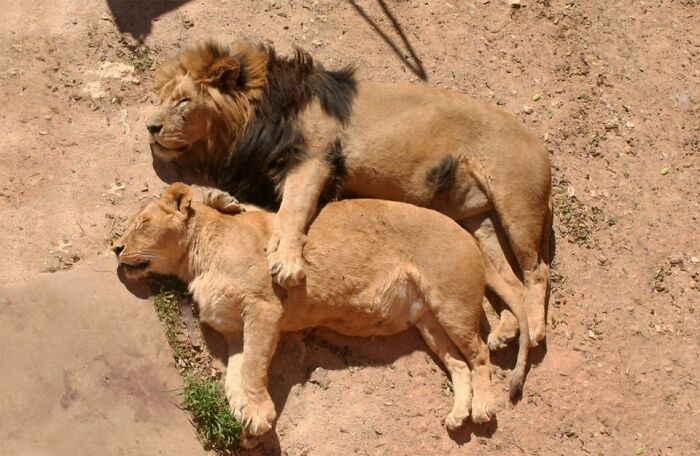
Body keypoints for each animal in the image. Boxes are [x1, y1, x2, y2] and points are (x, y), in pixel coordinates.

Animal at [113, 183, 530, 443]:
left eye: (142, 224)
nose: (116, 247)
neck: (195, 261)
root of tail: (467, 234)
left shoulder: (264, 308)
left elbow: (253, 367)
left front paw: (259, 413)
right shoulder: (234, 330)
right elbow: (234, 374)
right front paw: (242, 412)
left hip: (452, 305)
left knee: (480, 354)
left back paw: (482, 408)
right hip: (428, 323)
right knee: (459, 364)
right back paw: (459, 413)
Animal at [146, 41, 552, 347]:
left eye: (183, 101)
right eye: (161, 98)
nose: (150, 126)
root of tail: (540, 144)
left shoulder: (315, 158)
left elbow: (292, 210)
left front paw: (286, 262)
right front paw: (224, 203)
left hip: (517, 207)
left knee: (537, 271)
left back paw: (534, 329)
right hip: (477, 222)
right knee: (511, 281)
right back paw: (507, 331)